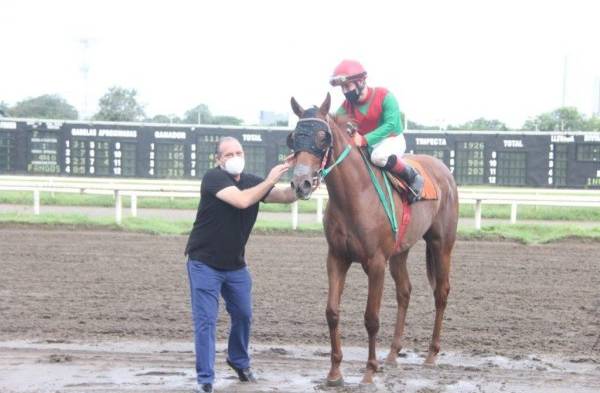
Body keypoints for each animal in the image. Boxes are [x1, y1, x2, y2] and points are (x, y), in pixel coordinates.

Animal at [288, 93, 460, 384]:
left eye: (323, 137)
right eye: (293, 137)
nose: (301, 183)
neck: (354, 196)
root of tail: (443, 170)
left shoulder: (376, 262)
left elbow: (371, 317)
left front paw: (369, 371)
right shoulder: (337, 257)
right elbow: (332, 312)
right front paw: (335, 371)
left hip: (441, 243)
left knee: (441, 291)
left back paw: (431, 354)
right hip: (401, 251)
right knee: (405, 291)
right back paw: (392, 354)